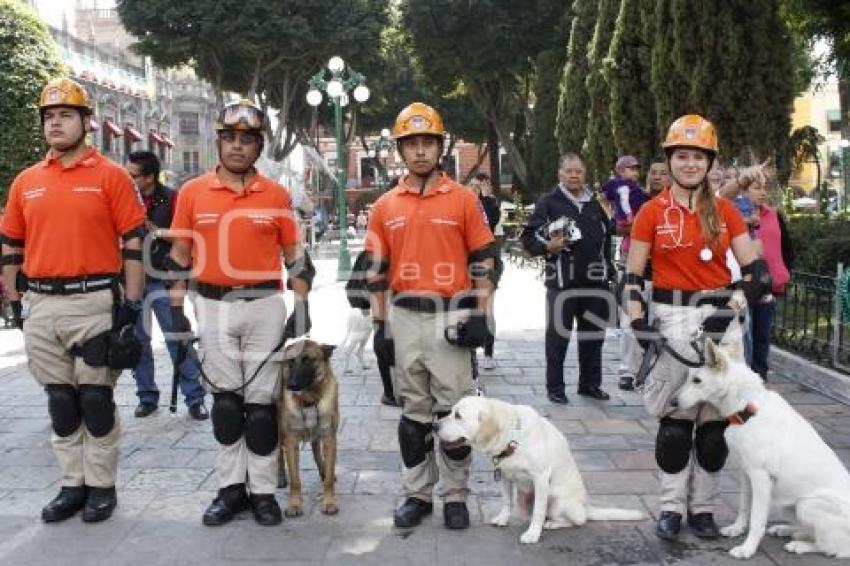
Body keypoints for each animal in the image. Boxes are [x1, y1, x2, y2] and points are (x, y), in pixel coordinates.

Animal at [438, 394, 644, 544]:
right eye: (451, 411)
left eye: (458, 416)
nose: (434, 425)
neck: (513, 437)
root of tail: (586, 507)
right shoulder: (505, 476)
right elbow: (506, 501)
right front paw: (503, 518)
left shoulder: (541, 478)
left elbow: (538, 510)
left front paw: (532, 534)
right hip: (523, 500)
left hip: (559, 500)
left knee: (576, 520)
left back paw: (553, 524)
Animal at [676, 340, 848, 560]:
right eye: (689, 378)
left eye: (697, 380)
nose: (672, 402)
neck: (747, 410)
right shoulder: (745, 473)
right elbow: (744, 506)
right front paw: (736, 529)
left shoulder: (760, 477)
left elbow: (757, 520)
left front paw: (747, 548)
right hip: (788, 505)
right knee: (811, 533)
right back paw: (787, 530)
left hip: (806, 505)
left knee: (833, 548)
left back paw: (799, 545)